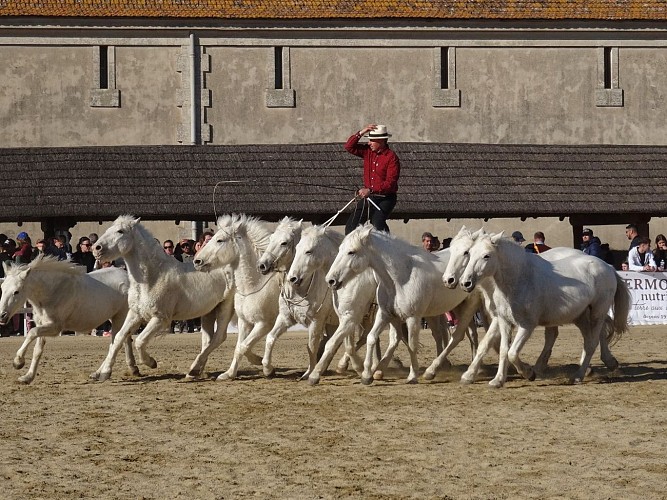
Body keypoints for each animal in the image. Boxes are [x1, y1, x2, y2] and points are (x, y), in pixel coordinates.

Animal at [0, 256, 138, 384]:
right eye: (2, 288)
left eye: (16, 291)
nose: (2, 315)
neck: (53, 291)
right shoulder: (43, 324)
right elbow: (37, 351)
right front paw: (27, 377)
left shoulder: (55, 327)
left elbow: (31, 332)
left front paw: (18, 362)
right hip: (115, 318)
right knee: (125, 339)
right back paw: (125, 369)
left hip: (119, 318)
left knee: (116, 342)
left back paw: (106, 372)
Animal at [88, 216, 235, 382]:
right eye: (108, 229)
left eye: (120, 231)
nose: (96, 248)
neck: (152, 277)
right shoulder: (135, 314)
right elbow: (119, 338)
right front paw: (104, 373)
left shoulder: (160, 318)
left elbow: (139, 341)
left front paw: (151, 363)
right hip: (209, 311)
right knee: (208, 340)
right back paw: (195, 371)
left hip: (226, 307)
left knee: (219, 337)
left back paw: (194, 369)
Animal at [196, 213, 284, 380]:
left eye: (219, 240)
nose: (197, 261)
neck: (254, 285)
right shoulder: (245, 322)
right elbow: (240, 347)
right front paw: (229, 374)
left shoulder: (264, 324)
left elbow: (244, 346)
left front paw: (268, 369)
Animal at [324, 225, 480, 384]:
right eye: (340, 249)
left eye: (352, 251)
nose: (331, 280)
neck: (401, 276)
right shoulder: (385, 314)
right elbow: (372, 338)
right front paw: (367, 375)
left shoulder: (413, 318)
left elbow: (411, 345)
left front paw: (412, 375)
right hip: (457, 307)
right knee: (466, 335)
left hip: (470, 305)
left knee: (458, 336)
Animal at [460, 232, 632, 388]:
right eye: (469, 253)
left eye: (486, 256)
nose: (465, 283)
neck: (520, 279)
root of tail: (608, 267)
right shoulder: (504, 321)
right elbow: (504, 350)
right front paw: (498, 380)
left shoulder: (527, 325)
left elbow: (512, 353)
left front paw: (529, 373)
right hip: (580, 316)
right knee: (589, 339)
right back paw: (601, 365)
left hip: (597, 312)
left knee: (591, 343)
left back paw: (578, 376)